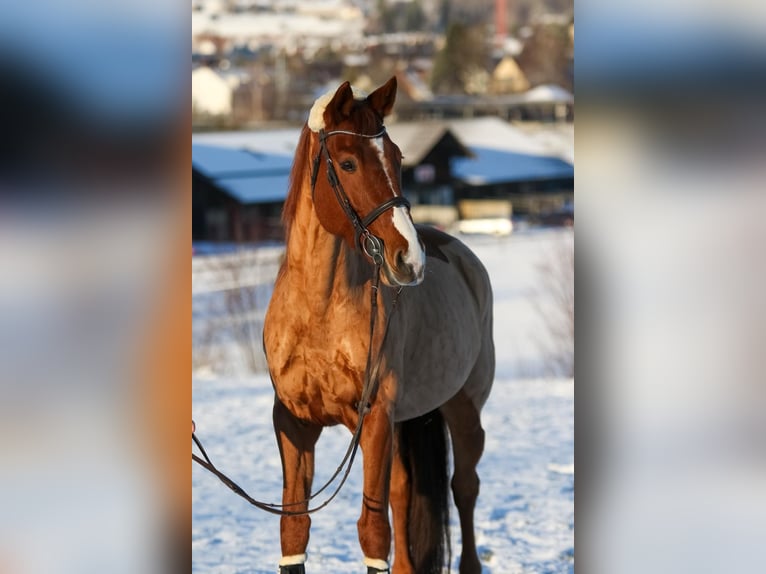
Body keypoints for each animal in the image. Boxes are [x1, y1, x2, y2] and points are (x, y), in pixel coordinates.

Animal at [263, 77, 495, 574]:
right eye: (348, 162)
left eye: (398, 158)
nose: (410, 259)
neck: (318, 311)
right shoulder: (294, 424)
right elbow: (294, 529)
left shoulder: (373, 420)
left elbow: (373, 532)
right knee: (404, 493)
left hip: (464, 411)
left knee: (463, 489)